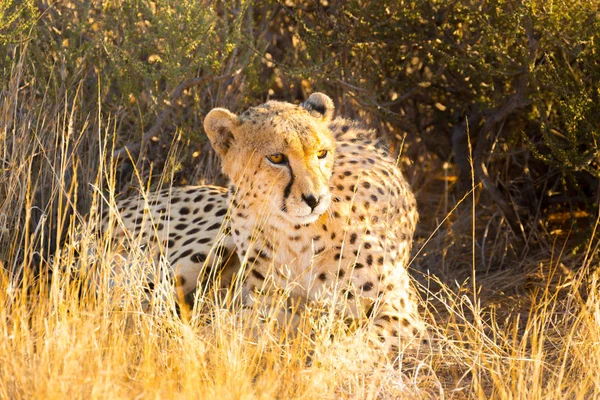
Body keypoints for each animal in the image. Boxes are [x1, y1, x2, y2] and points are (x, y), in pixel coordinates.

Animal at [204, 93, 424, 354]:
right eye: (276, 157)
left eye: (322, 153)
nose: (314, 199)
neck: (295, 235)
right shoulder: (266, 301)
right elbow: (236, 325)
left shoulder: (398, 307)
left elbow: (362, 344)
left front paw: (326, 359)